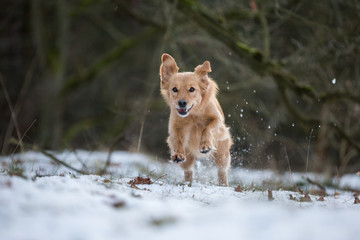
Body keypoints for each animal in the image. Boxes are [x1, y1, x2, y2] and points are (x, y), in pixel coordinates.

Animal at [159, 53, 232, 187]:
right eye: (174, 89)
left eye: (192, 89)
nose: (182, 103)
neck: (193, 115)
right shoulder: (174, 126)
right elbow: (177, 138)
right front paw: (178, 153)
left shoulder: (217, 120)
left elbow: (208, 128)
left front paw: (205, 145)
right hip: (188, 158)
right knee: (188, 170)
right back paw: (188, 183)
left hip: (222, 153)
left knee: (222, 170)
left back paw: (223, 185)